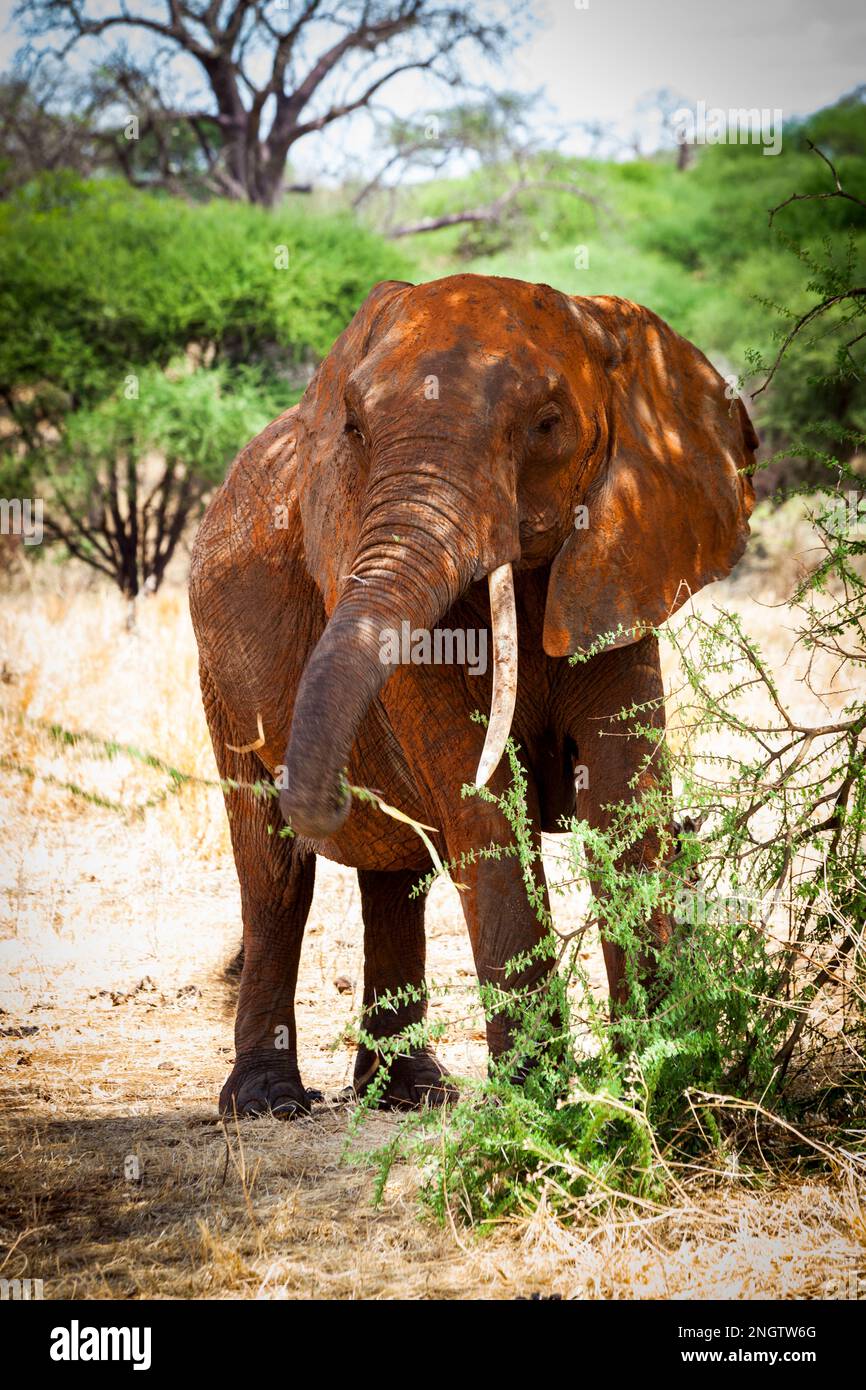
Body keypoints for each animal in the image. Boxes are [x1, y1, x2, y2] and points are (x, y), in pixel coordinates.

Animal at [189, 271, 756, 1117]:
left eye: (547, 425)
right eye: (355, 429)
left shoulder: (622, 559)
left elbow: (622, 798)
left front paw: (663, 1082)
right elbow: (480, 804)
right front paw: (543, 1105)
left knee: (397, 879)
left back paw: (412, 1094)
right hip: (217, 673)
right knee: (276, 875)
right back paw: (268, 1103)